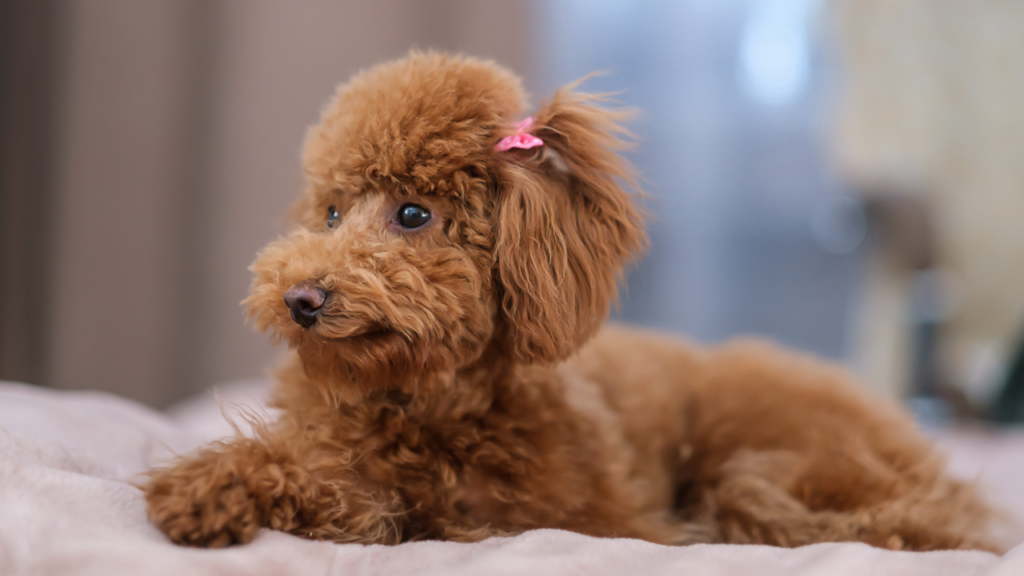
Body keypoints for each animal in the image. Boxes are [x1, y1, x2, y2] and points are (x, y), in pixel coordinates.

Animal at [142, 51, 991, 549]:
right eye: (328, 214)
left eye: (412, 214)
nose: (300, 298)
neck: (424, 399)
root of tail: (931, 469)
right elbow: (334, 477)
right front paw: (218, 480)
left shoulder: (532, 516)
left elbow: (371, 497)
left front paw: (210, 489)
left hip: (763, 456)